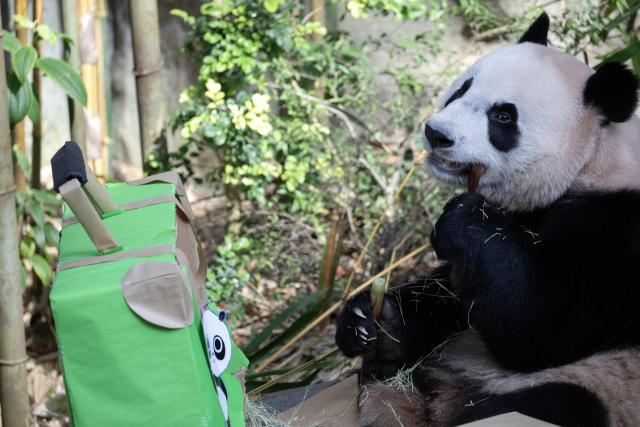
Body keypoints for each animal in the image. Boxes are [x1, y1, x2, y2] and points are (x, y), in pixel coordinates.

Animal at [332, 11, 640, 426]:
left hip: (601, 385)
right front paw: (372, 320)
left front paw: (462, 219)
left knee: (557, 402)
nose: (436, 134)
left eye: (503, 116)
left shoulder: (621, 227)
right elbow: (453, 294)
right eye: (462, 89)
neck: (595, 156)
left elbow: (544, 321)